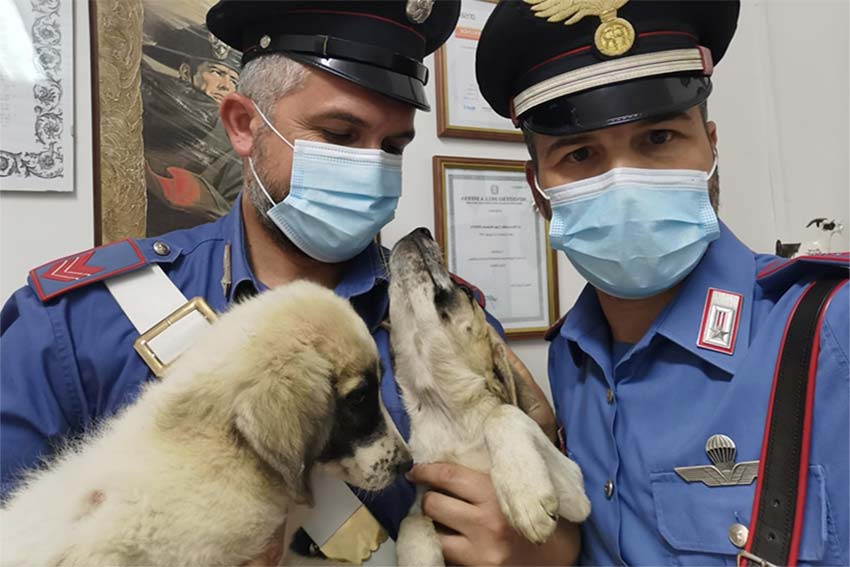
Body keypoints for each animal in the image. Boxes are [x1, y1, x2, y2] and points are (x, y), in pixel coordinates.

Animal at [386, 229, 588, 564]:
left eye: (466, 292)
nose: (420, 231)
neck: (446, 413)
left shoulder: (576, 489)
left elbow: (501, 413)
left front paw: (525, 496)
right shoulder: (425, 493)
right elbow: (410, 522)